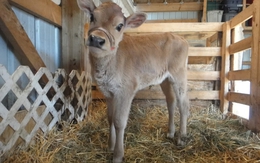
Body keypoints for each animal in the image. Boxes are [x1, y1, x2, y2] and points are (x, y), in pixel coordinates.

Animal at [76, 0, 189, 162]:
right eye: (92, 17)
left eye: (119, 26)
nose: (97, 39)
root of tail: (179, 37)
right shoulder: (108, 92)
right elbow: (110, 118)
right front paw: (110, 146)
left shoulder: (126, 91)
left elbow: (119, 122)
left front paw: (118, 155)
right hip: (165, 79)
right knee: (171, 102)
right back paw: (171, 132)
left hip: (179, 74)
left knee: (183, 104)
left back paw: (181, 138)